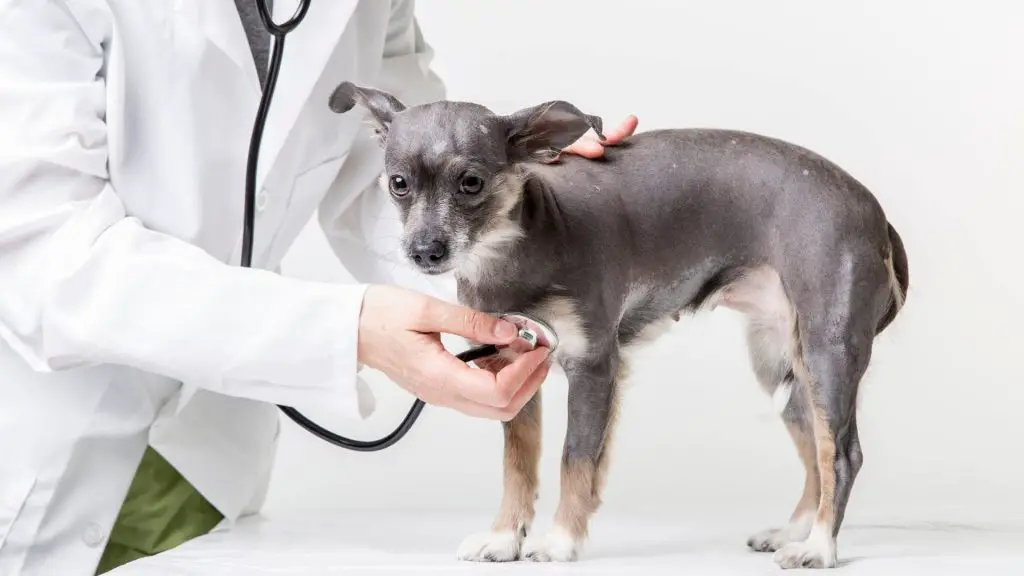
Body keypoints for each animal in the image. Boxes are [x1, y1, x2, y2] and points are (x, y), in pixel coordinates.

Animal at [327, 80, 913, 569]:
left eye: (471, 183)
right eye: (398, 184)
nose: (425, 251)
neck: (518, 250)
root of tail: (874, 213)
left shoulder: (593, 366)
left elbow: (575, 459)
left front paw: (559, 541)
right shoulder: (513, 370)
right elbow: (519, 464)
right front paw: (504, 537)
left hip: (827, 354)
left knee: (842, 454)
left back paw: (818, 547)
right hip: (783, 369)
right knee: (815, 451)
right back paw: (795, 532)